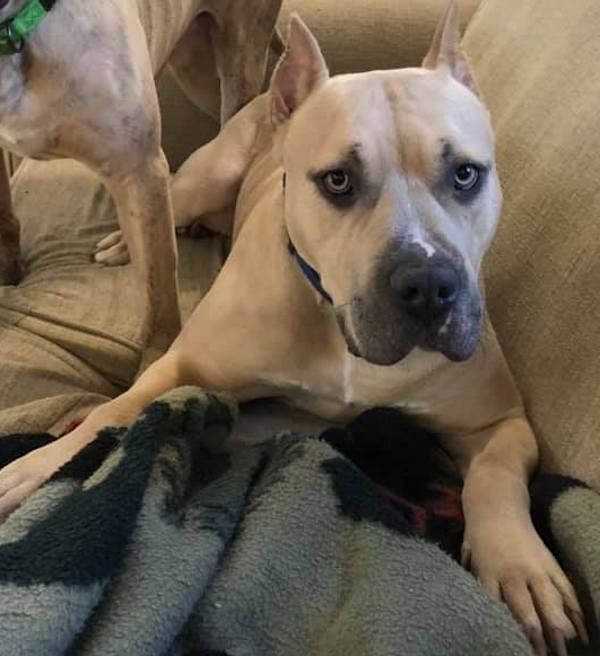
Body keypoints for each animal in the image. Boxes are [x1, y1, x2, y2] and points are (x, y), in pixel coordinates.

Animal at [0, 0, 282, 362]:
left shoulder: (138, 169)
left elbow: (159, 296)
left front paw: (152, 363)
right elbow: (4, 216)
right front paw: (7, 269)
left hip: (239, 55)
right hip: (194, 65)